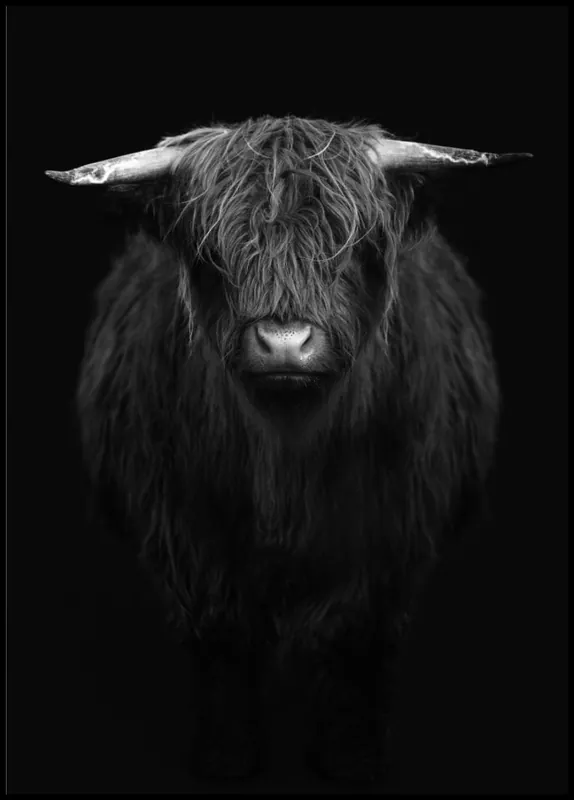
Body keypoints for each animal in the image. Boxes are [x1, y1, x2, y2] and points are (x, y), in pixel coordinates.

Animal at [46, 116, 531, 782]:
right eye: (213, 253)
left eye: (352, 248)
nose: (284, 342)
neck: (285, 467)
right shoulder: (192, 553)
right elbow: (225, 657)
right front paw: (225, 762)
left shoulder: (382, 558)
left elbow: (350, 657)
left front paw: (350, 761)